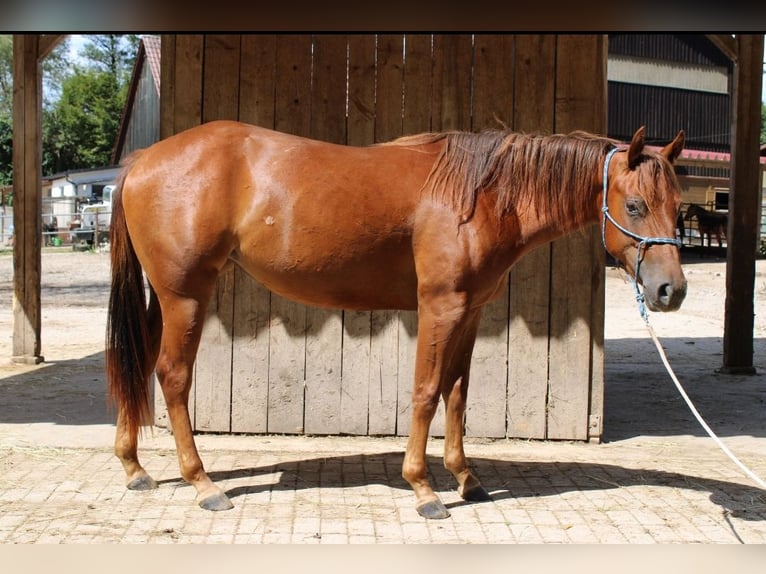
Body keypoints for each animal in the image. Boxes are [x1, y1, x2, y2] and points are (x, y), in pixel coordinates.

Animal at [106, 122, 687, 520]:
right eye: (635, 205)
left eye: (678, 206)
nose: (671, 291)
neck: (483, 195)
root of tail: (143, 159)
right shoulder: (440, 307)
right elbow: (427, 391)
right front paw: (424, 488)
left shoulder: (471, 311)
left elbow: (457, 392)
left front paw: (466, 478)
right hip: (186, 297)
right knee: (172, 377)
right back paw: (203, 484)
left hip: (164, 299)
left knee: (138, 363)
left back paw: (135, 469)